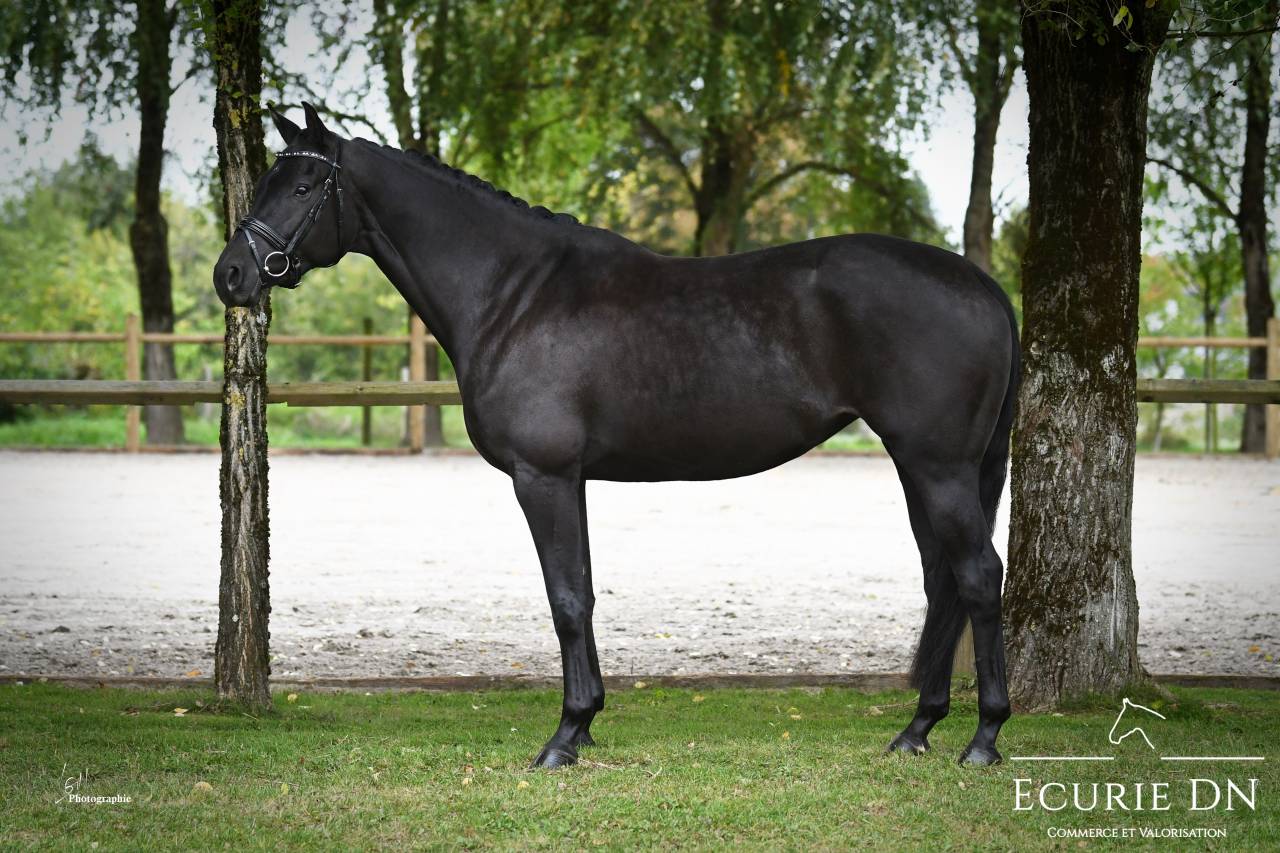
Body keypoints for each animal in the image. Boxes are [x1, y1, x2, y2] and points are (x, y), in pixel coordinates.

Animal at [213, 104, 1020, 768]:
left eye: (302, 188)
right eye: (269, 181)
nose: (231, 275)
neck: (514, 294)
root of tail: (984, 287)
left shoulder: (543, 476)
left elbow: (566, 597)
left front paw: (565, 735)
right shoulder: (570, 479)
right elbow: (584, 591)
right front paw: (588, 722)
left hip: (939, 466)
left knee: (980, 576)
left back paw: (983, 738)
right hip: (920, 467)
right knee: (942, 580)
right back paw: (918, 727)